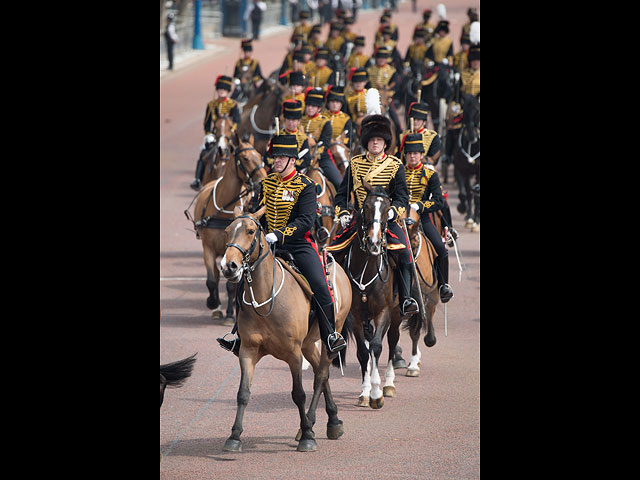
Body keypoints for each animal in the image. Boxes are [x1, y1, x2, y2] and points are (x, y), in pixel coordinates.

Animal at [185, 137, 268, 324]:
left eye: (260, 156)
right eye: (245, 158)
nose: (262, 181)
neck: (224, 208)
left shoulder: (231, 253)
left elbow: (231, 284)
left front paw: (230, 314)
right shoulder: (209, 248)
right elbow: (211, 279)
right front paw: (213, 303)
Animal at [219, 204, 350, 452]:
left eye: (251, 231)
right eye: (227, 230)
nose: (228, 267)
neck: (265, 300)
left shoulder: (293, 354)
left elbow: (298, 394)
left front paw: (308, 436)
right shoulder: (248, 351)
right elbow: (243, 393)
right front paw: (234, 436)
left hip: (329, 337)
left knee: (321, 375)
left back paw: (311, 425)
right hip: (308, 344)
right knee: (321, 373)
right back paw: (333, 421)